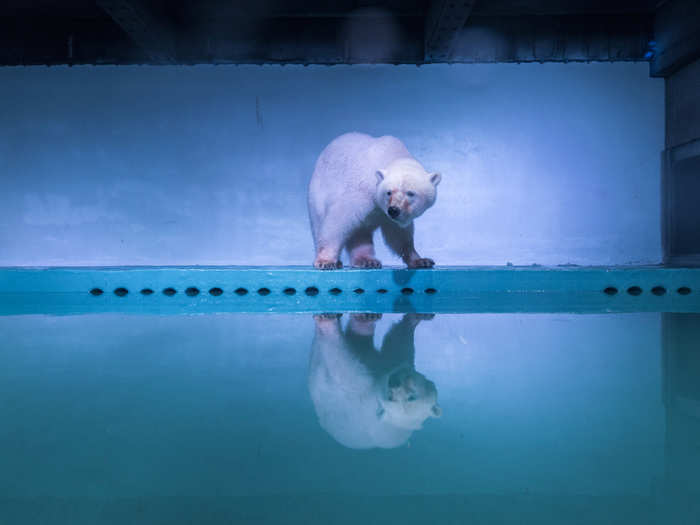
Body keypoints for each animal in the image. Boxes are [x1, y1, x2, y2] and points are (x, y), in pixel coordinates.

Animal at [308, 131, 440, 270]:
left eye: (410, 193)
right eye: (388, 192)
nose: (394, 210)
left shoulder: (388, 215)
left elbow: (398, 234)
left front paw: (420, 260)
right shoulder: (362, 192)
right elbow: (338, 221)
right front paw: (326, 261)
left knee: (361, 233)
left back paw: (366, 260)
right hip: (317, 193)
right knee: (319, 223)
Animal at [308, 314, 440, 448]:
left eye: (410, 397)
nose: (394, 382)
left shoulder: (365, 395)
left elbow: (341, 362)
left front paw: (327, 323)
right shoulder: (391, 365)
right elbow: (397, 343)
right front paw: (415, 318)